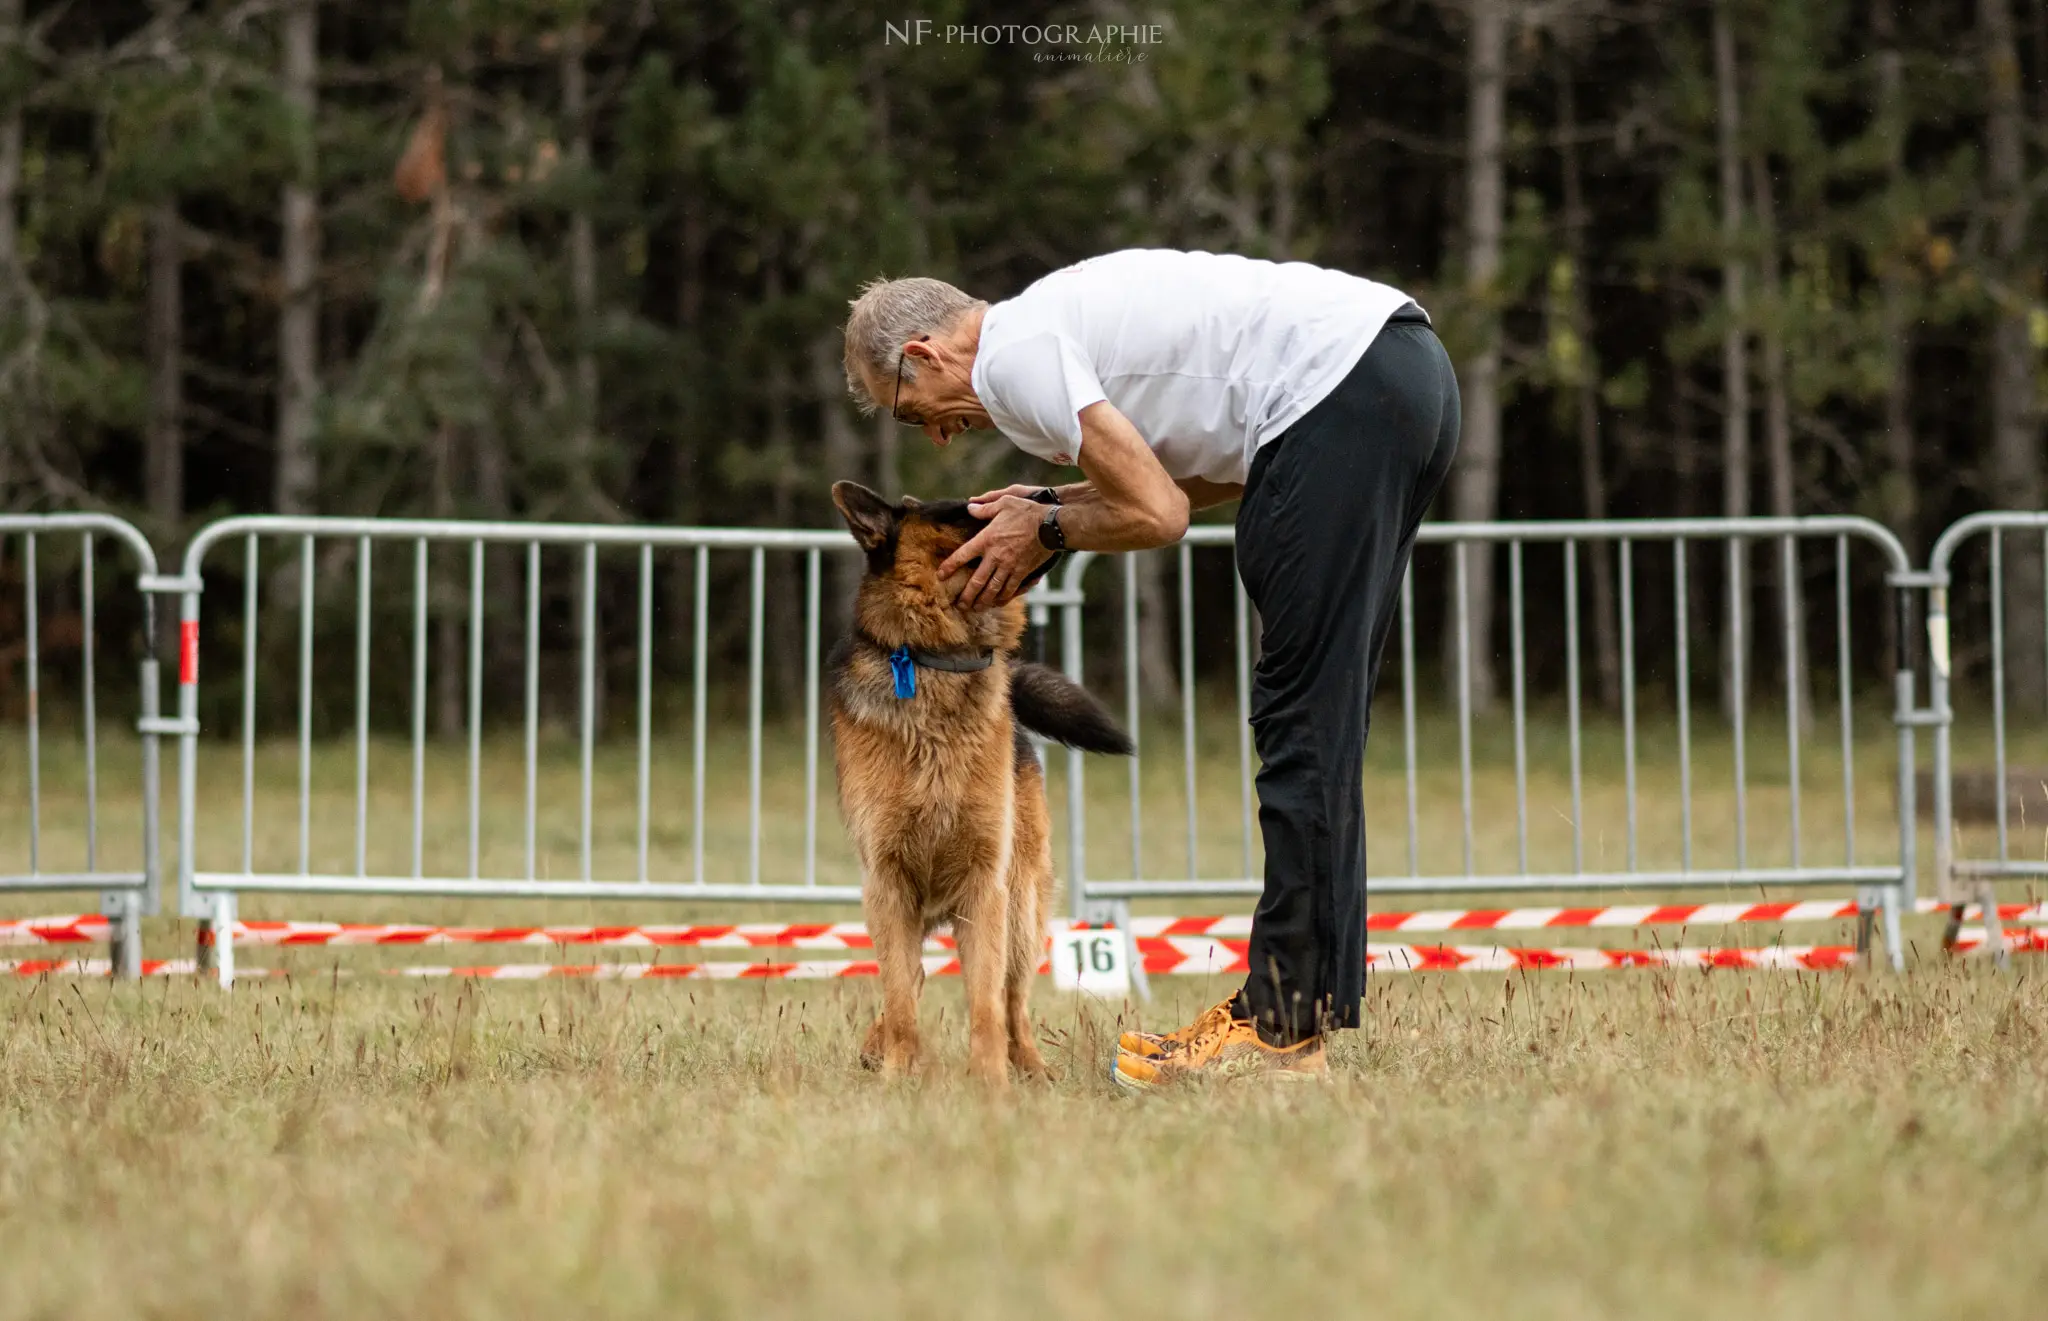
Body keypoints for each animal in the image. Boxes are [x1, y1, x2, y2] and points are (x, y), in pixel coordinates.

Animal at [823, 481, 1138, 1081]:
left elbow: (987, 1002)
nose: (1046, 494)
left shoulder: (984, 887)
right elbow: (900, 994)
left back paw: (1031, 1070)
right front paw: (899, 1073)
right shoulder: (888, 885)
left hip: (1020, 909)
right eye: (961, 510)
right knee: (912, 977)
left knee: (1013, 1000)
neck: (938, 661)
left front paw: (991, 1083)